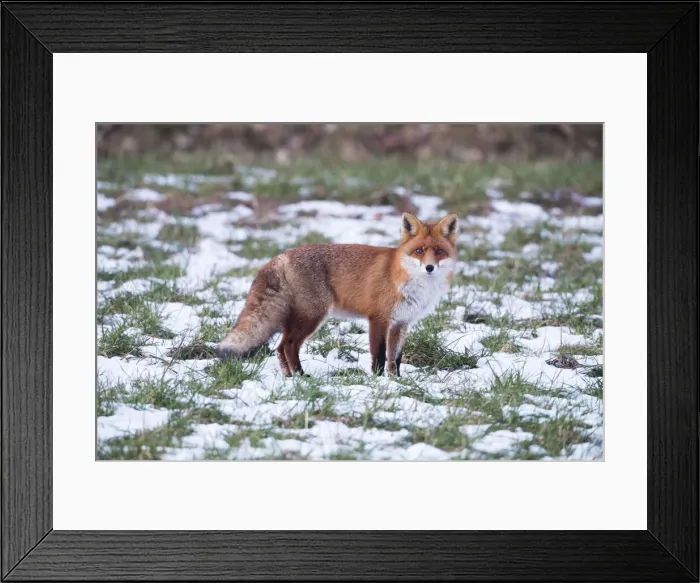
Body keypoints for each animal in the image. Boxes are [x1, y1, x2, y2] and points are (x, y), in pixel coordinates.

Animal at [217, 211, 459, 377]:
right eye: (419, 251)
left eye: (439, 252)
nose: (429, 267)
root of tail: (282, 256)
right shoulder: (378, 318)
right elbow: (380, 355)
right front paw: (379, 379)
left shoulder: (401, 323)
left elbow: (396, 357)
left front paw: (396, 380)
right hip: (312, 316)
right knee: (289, 345)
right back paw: (301, 376)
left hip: (298, 318)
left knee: (279, 347)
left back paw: (289, 377)